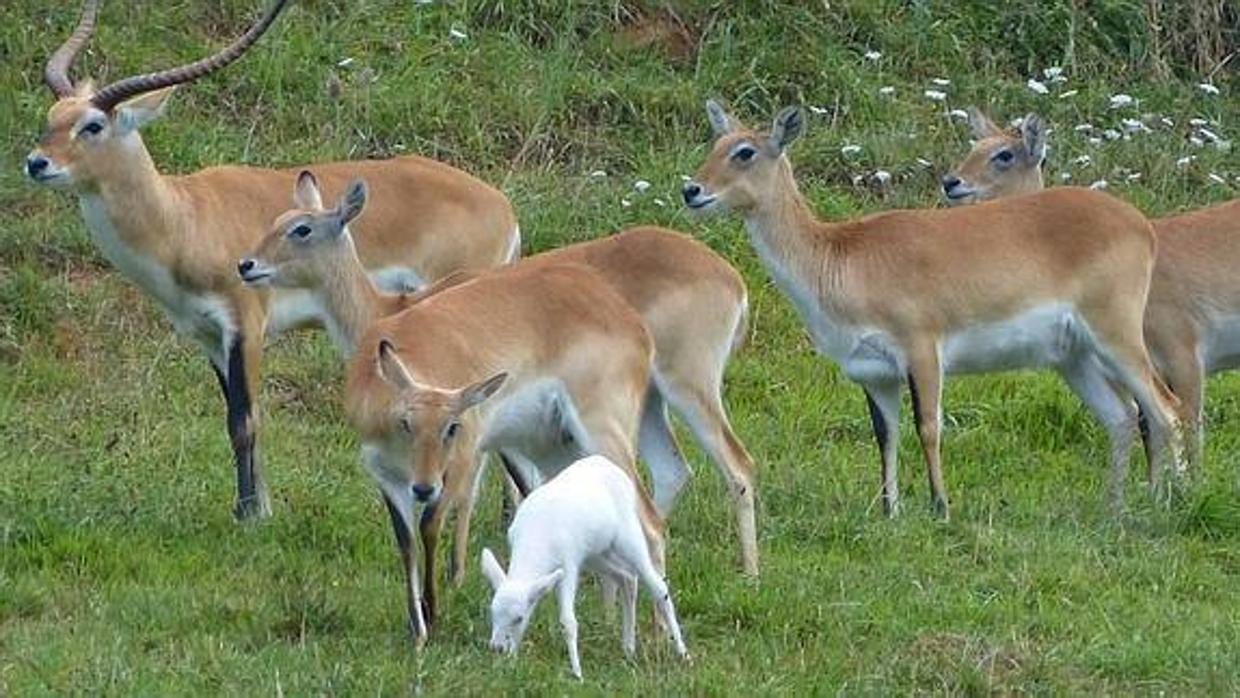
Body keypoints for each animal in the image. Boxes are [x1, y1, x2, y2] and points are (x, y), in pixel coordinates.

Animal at [24, 0, 518, 520]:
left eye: (92, 125)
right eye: (52, 115)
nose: (36, 163)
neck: (185, 218)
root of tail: (502, 206)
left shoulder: (246, 325)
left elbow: (244, 421)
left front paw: (248, 516)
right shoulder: (206, 336)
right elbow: (237, 416)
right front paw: (259, 507)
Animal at [241, 174, 758, 580]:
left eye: (301, 228)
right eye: (275, 220)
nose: (246, 264)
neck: (389, 313)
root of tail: (733, 279)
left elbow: (476, 488)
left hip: (685, 386)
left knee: (737, 466)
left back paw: (749, 574)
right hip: (648, 404)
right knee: (671, 473)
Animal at [478, 456, 689, 679]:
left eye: (518, 618)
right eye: (492, 612)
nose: (497, 648)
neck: (536, 541)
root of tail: (615, 470)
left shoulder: (569, 563)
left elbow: (568, 621)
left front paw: (577, 673)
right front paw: (511, 662)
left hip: (628, 538)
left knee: (658, 586)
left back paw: (683, 653)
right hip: (598, 553)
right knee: (627, 577)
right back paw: (629, 649)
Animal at [689, 102, 1180, 518]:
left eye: (745, 151)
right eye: (714, 144)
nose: (691, 189)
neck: (839, 258)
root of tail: (1141, 225)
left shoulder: (922, 349)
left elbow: (928, 426)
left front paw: (940, 506)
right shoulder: (873, 372)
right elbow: (885, 434)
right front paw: (889, 510)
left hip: (1115, 333)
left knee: (1164, 408)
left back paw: (1169, 499)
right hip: (1073, 356)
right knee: (1122, 416)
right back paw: (1113, 508)